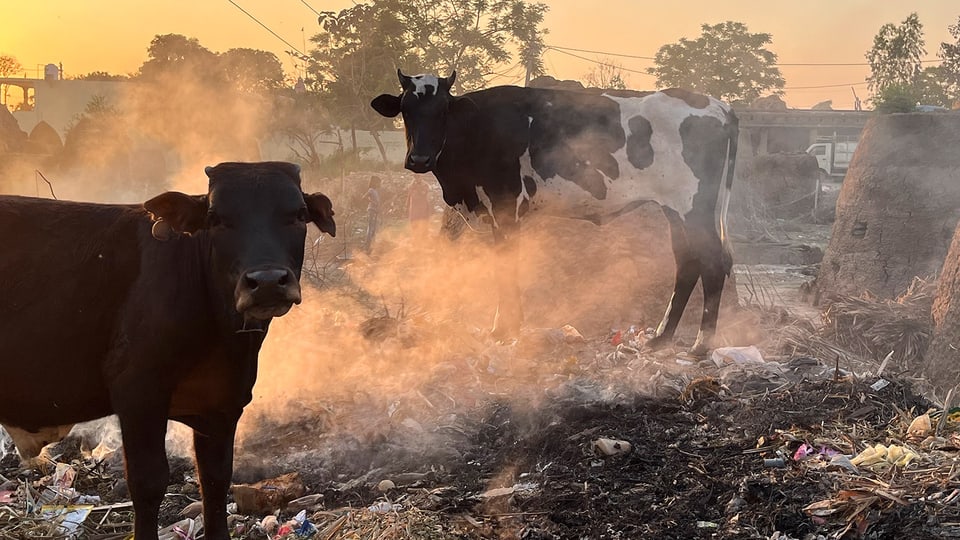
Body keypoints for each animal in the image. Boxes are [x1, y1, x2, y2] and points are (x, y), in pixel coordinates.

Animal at [0, 162, 338, 540]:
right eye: (216, 218)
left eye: (298, 215)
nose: (266, 282)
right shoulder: (138, 392)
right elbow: (148, 482)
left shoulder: (222, 404)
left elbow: (215, 480)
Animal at [372, 69, 740, 354]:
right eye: (405, 109)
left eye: (442, 111)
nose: (419, 159)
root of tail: (719, 105)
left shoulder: (506, 207)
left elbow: (505, 268)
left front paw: (505, 329)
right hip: (675, 210)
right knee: (687, 262)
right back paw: (661, 338)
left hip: (694, 207)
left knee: (711, 262)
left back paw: (701, 345)